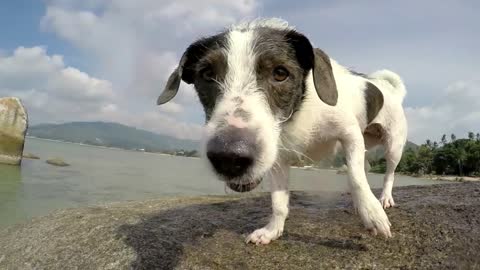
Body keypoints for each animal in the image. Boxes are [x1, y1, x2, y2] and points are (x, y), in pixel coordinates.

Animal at [159, 17, 406, 244]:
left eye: (280, 73)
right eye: (207, 74)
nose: (229, 157)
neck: (297, 113)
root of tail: (391, 91)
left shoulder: (349, 134)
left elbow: (356, 178)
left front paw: (372, 214)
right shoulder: (277, 160)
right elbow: (278, 203)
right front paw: (272, 231)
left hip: (394, 147)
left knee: (388, 173)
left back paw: (383, 199)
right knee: (366, 166)